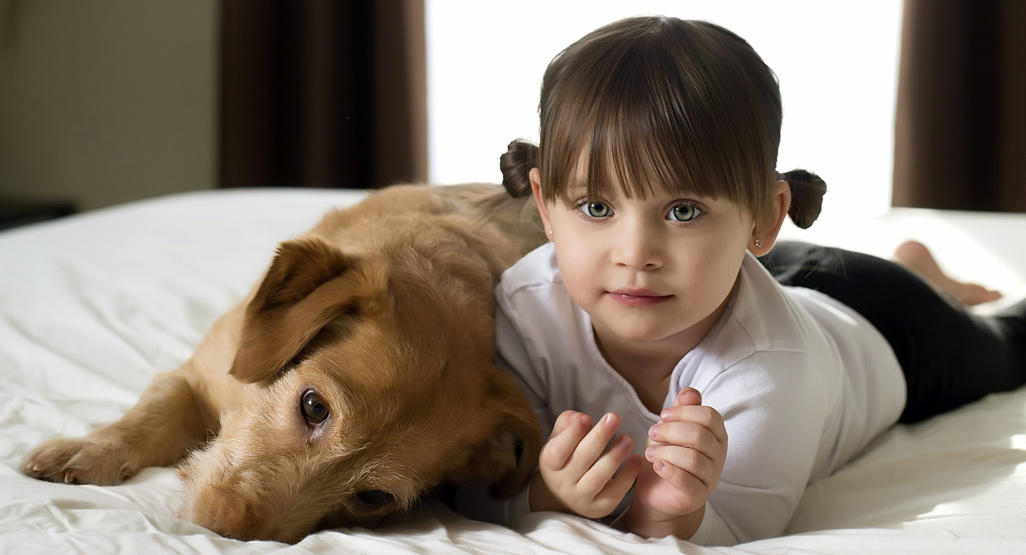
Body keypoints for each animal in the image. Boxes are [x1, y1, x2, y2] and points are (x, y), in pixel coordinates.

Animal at [20, 183, 549, 537]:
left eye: (373, 497)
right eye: (313, 406)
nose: (225, 535)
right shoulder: (195, 377)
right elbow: (151, 413)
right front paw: (88, 449)